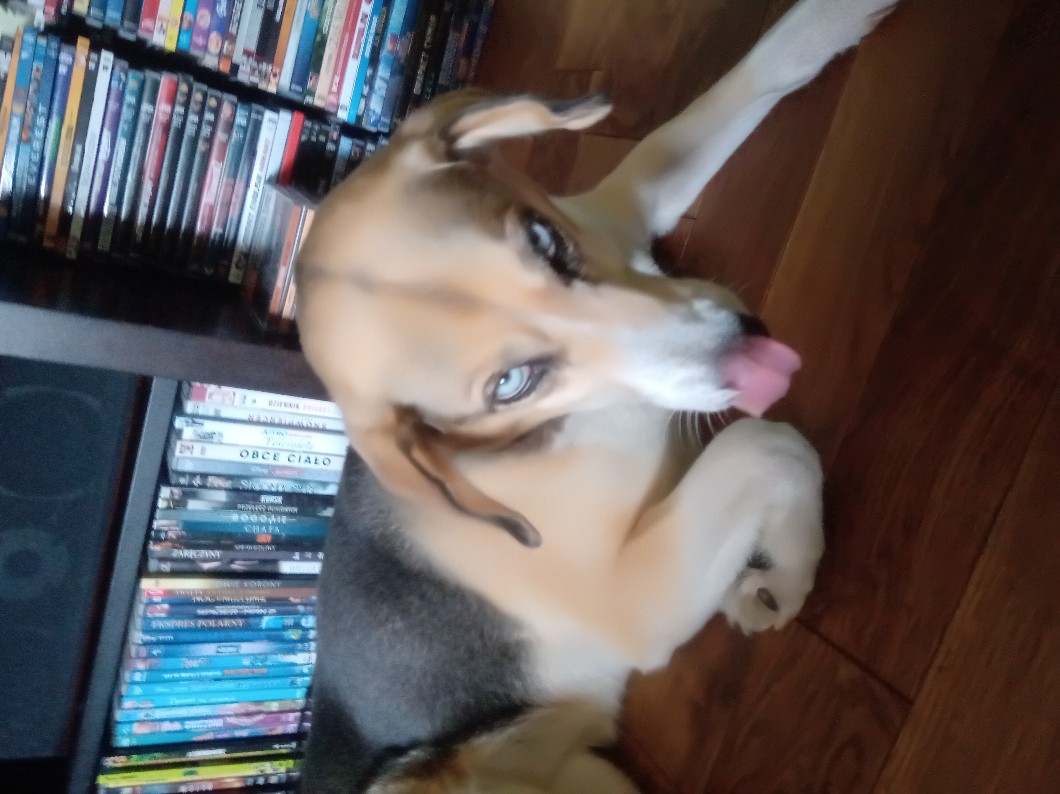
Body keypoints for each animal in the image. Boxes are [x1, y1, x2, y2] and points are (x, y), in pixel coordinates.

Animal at [294, 1, 895, 790]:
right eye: (511, 384)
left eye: (546, 240)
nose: (750, 347)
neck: (576, 419)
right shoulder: (634, 597)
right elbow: (770, 444)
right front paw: (787, 573)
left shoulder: (620, 208)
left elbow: (752, 75)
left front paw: (828, 21)